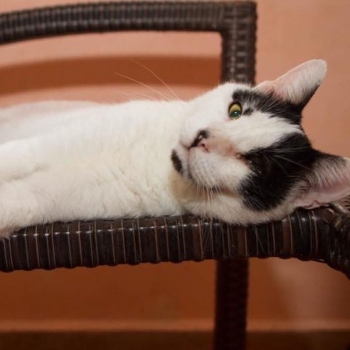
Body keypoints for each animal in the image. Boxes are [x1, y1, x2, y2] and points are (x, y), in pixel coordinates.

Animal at [0, 59, 348, 238]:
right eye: (236, 110)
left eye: (257, 165)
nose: (204, 137)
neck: (154, 160)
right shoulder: (51, 143)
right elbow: (19, 154)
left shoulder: (53, 196)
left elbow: (21, 201)